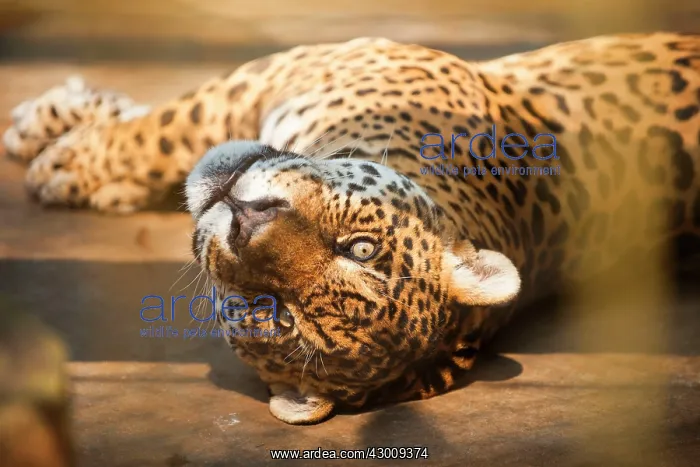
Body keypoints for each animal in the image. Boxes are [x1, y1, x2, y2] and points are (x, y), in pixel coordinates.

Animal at [4, 33, 700, 425]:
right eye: (362, 248)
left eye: (274, 311)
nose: (244, 218)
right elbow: (177, 125)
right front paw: (66, 133)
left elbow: (169, 130)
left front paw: (68, 155)